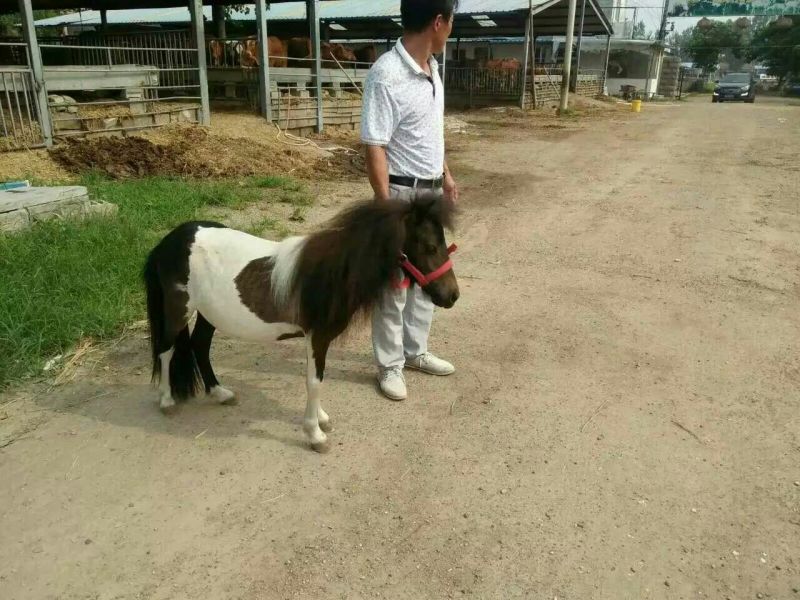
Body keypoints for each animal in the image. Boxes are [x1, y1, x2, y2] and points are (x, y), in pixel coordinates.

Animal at [142, 195, 459, 452]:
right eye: (430, 246)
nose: (452, 296)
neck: (333, 273)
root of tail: (167, 242)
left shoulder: (315, 339)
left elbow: (316, 379)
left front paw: (321, 420)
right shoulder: (317, 337)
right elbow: (314, 382)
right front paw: (315, 435)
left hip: (209, 314)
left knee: (199, 346)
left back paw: (220, 393)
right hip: (178, 310)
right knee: (166, 350)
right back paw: (167, 402)